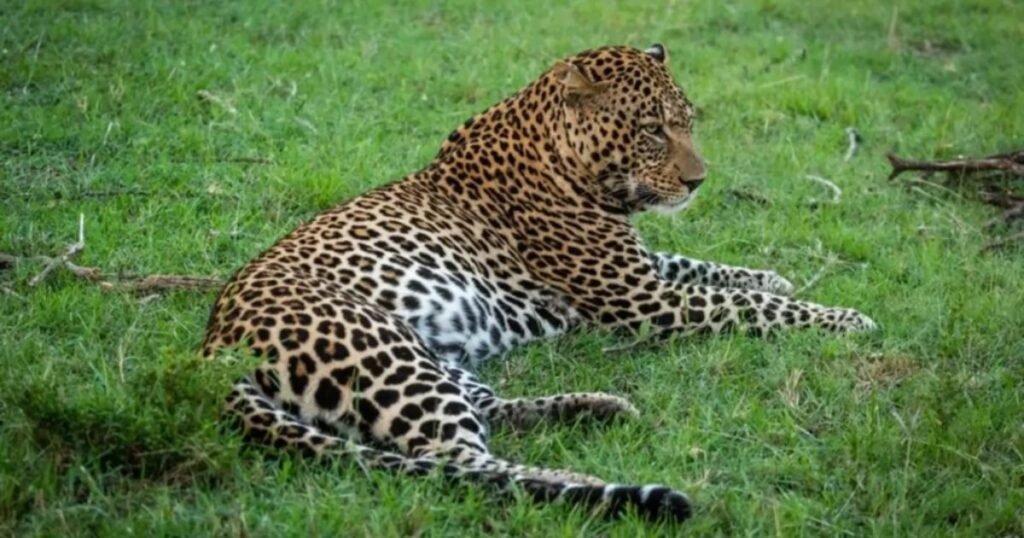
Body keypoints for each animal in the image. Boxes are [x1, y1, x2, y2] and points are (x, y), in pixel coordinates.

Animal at [201, 44, 876, 523]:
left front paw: (775, 275)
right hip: (381, 350)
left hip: (431, 358)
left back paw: (598, 412)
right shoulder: (643, 299)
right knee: (457, 463)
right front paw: (848, 319)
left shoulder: (643, 271)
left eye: (687, 122)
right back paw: (594, 487)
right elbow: (746, 307)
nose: (698, 182)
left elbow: (707, 267)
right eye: (653, 130)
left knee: (487, 413)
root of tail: (211, 346)